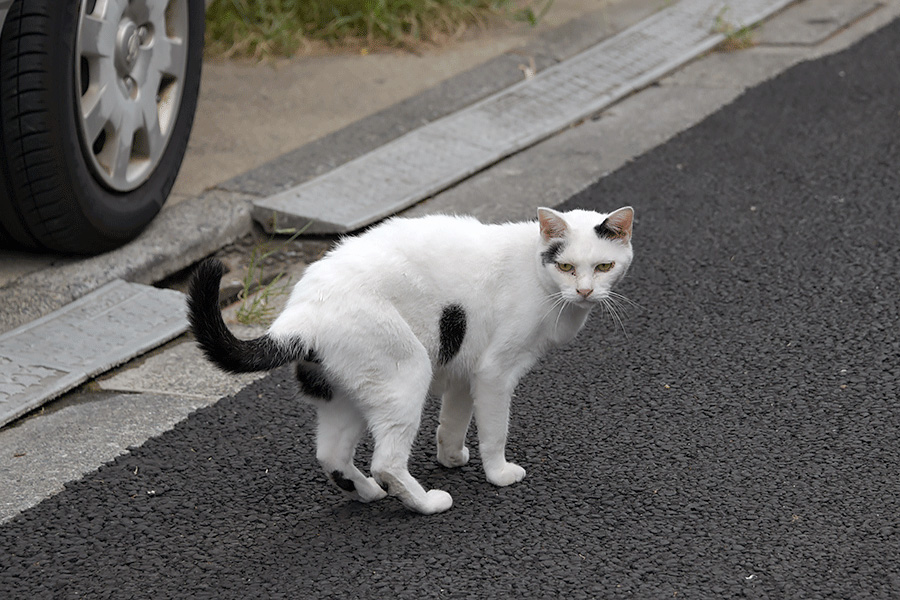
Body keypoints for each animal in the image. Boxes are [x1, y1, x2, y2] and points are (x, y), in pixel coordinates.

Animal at [185, 204, 632, 512]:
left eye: (604, 266)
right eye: (566, 266)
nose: (586, 291)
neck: (538, 277)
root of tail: (299, 315)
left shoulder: (464, 370)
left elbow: (452, 422)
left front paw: (451, 457)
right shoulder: (494, 372)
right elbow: (494, 431)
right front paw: (498, 474)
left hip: (348, 396)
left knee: (331, 455)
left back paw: (367, 493)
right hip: (406, 372)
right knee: (385, 461)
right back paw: (426, 502)